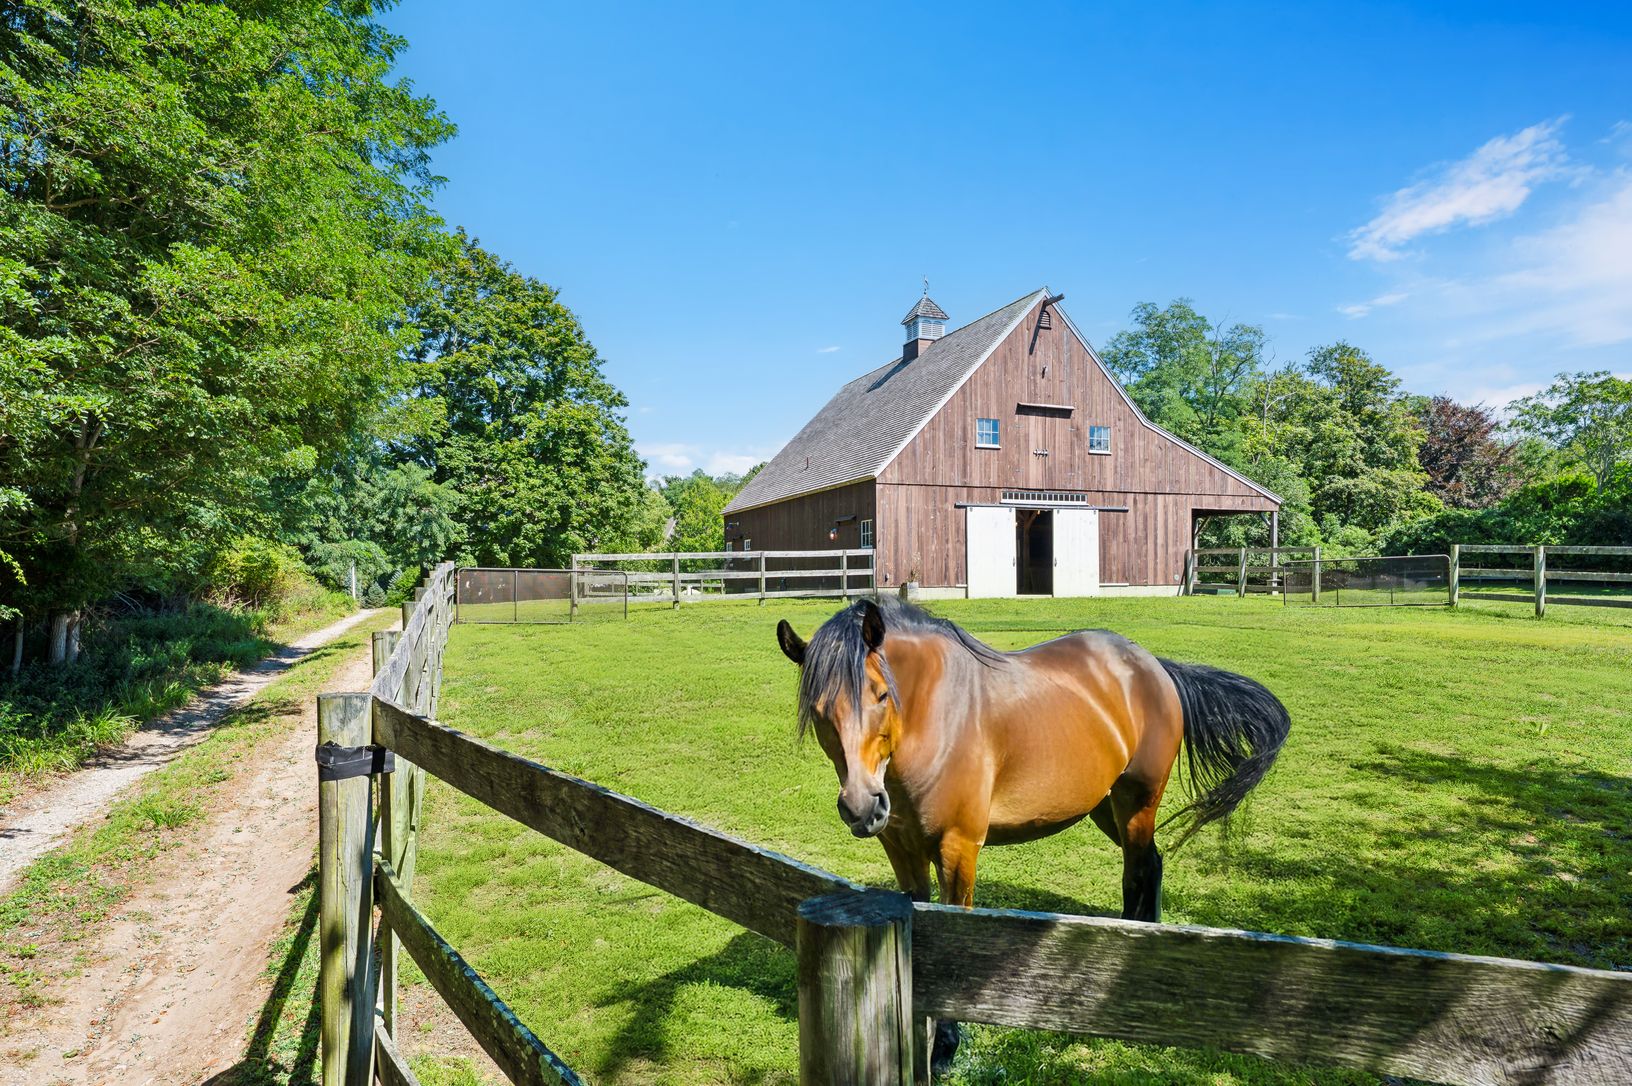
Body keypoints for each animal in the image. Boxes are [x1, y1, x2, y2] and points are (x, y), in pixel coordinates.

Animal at [775, 596, 1290, 1071]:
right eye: (819, 710)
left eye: (882, 695)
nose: (862, 805)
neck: (934, 720)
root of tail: (1152, 667)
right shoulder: (901, 850)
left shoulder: (958, 849)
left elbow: (955, 938)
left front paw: (945, 1046)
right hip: (1107, 807)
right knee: (1149, 864)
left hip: (1137, 802)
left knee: (1140, 869)